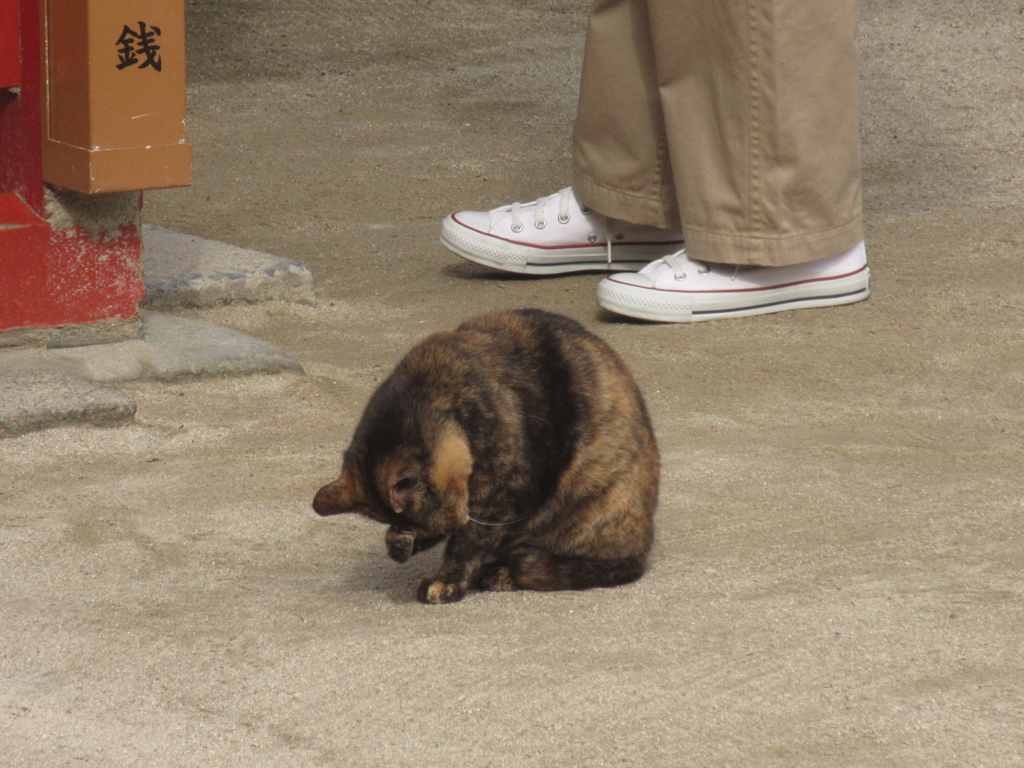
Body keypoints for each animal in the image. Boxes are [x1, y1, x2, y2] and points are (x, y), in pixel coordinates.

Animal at [311, 309, 659, 606]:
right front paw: (399, 541)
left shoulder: (502, 494)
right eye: (416, 523)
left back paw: (503, 574)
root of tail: (645, 543)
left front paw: (446, 581)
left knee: (592, 568)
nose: (444, 527)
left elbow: (468, 543)